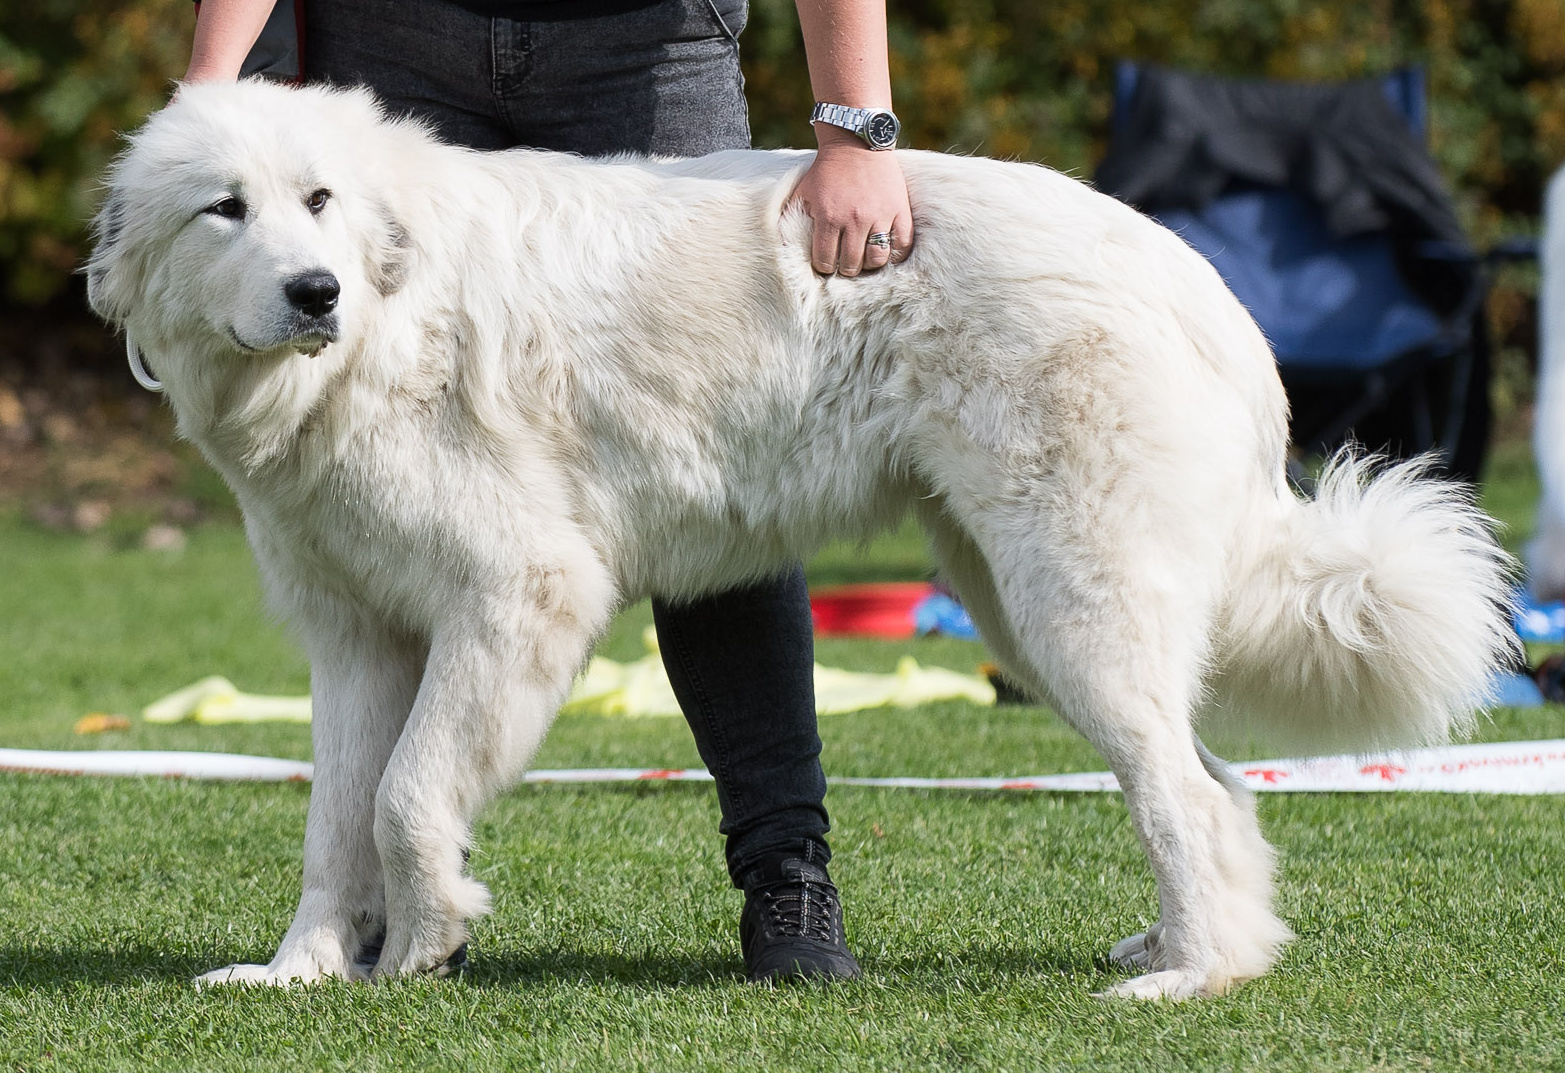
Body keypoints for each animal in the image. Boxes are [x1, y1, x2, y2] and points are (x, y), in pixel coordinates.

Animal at [88, 79, 1514, 1007]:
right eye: (226, 209)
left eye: (319, 200)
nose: (314, 291)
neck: (388, 315)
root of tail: (1196, 281)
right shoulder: (357, 639)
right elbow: (332, 821)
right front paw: (302, 970)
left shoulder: (516, 595)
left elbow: (404, 794)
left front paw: (429, 935)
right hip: (1020, 611)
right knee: (1206, 781)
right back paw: (1178, 949)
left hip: (1073, 607)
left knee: (1187, 790)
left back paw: (1192, 980)